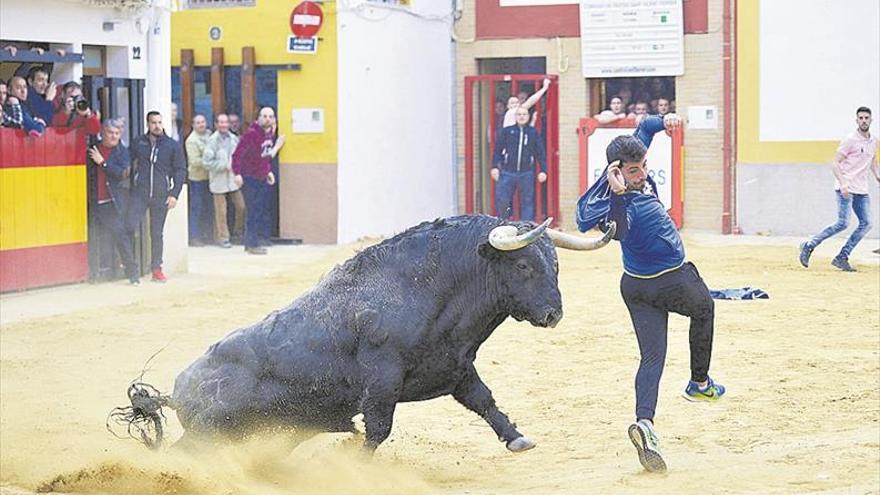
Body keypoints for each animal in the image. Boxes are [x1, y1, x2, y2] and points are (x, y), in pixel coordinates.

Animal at [115, 215, 612, 456]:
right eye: (523, 265)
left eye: (556, 263)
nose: (553, 314)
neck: (428, 288)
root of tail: (179, 390)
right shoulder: (381, 382)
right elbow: (377, 430)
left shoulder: (456, 369)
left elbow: (486, 402)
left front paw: (517, 438)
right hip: (211, 432)